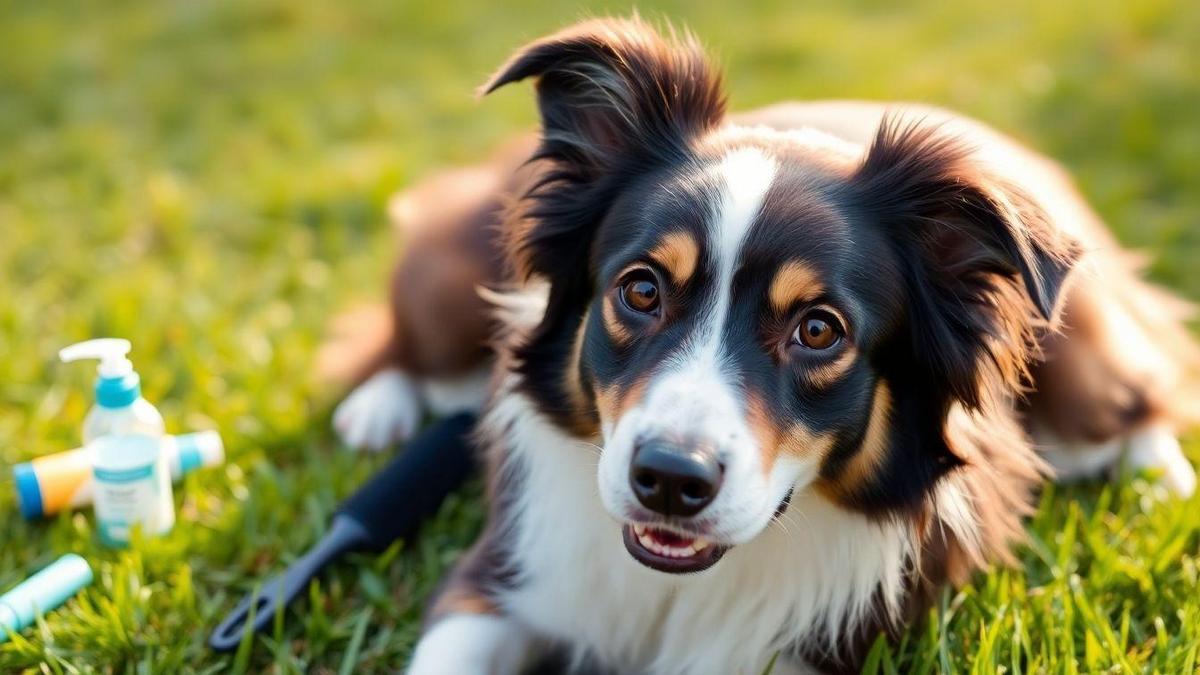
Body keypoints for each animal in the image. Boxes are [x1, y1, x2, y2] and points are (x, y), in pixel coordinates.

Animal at [326, 17, 1200, 672]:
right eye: (641, 290)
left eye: (818, 329)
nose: (669, 481)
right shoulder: (496, 581)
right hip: (450, 282)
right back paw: (377, 409)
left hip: (1079, 346)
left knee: (1136, 401)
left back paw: (1165, 488)